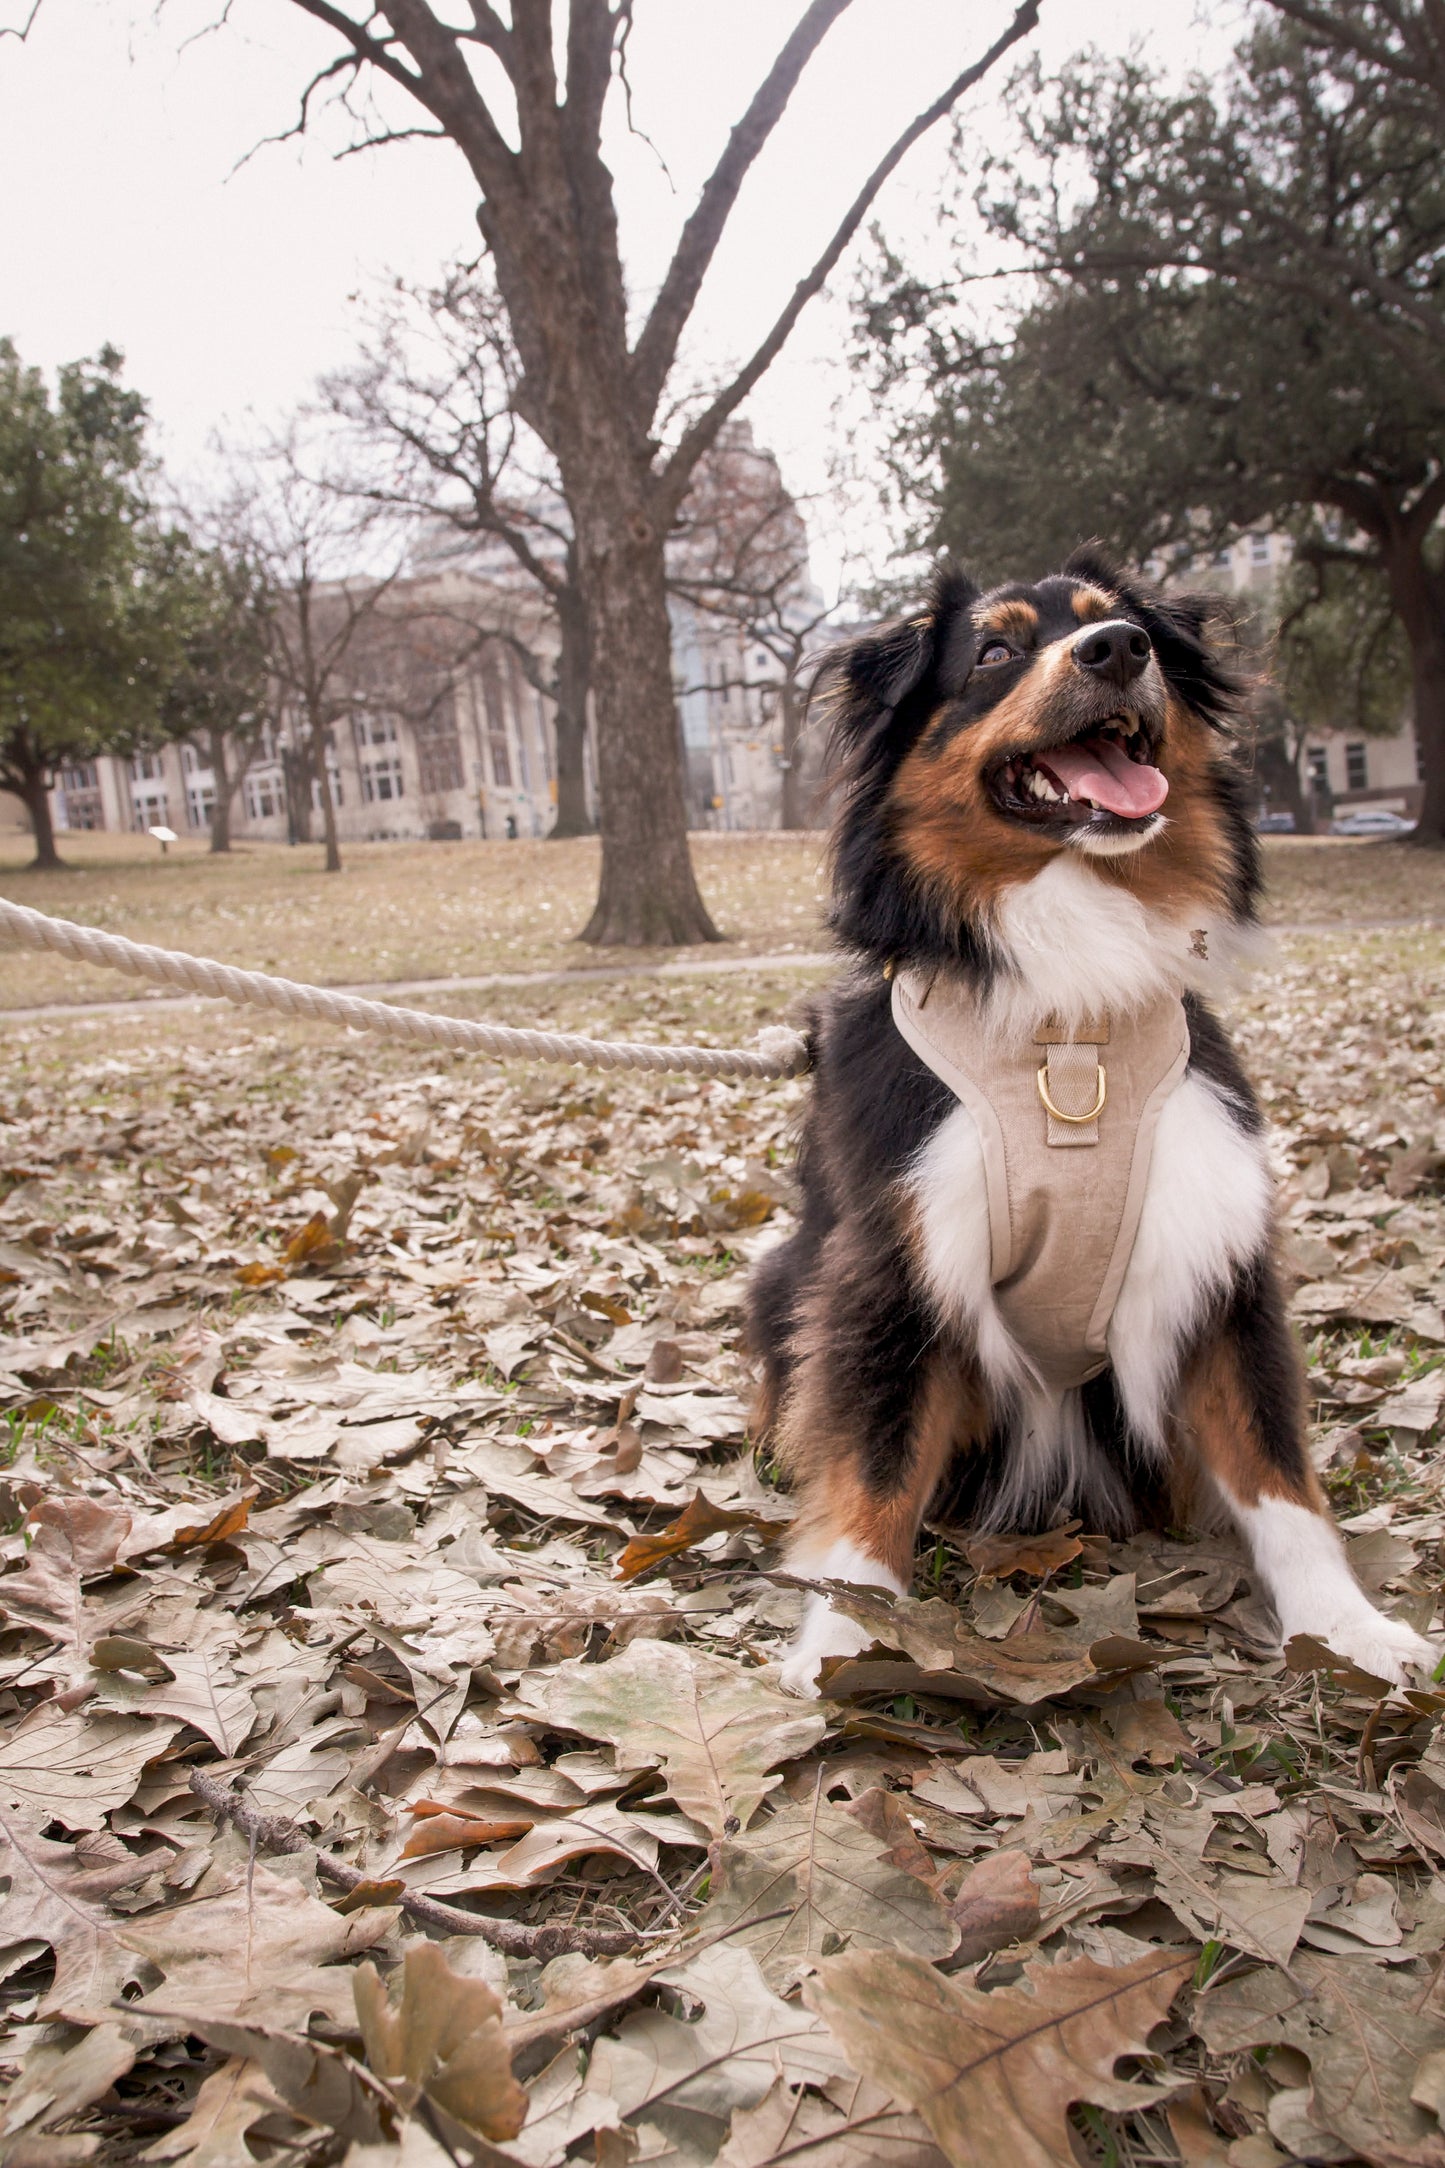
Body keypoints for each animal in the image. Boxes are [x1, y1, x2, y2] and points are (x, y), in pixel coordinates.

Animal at [745, 550, 1438, 1699]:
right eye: (990, 651)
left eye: (1110, 619)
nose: (1119, 648)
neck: (1068, 1028)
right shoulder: (892, 1264)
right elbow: (875, 1464)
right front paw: (842, 1632)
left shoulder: (1214, 1249)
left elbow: (1276, 1468)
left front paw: (1346, 1628)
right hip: (779, 1274)